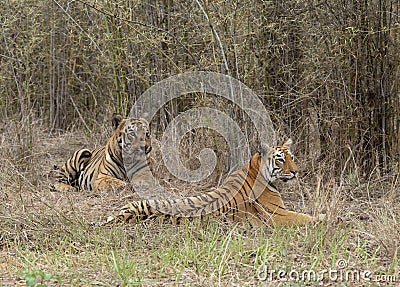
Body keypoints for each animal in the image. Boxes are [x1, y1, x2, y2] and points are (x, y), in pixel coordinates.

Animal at [101, 140, 324, 227]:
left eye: (292, 157)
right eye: (280, 160)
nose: (296, 171)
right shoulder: (278, 215)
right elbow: (305, 217)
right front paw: (326, 218)